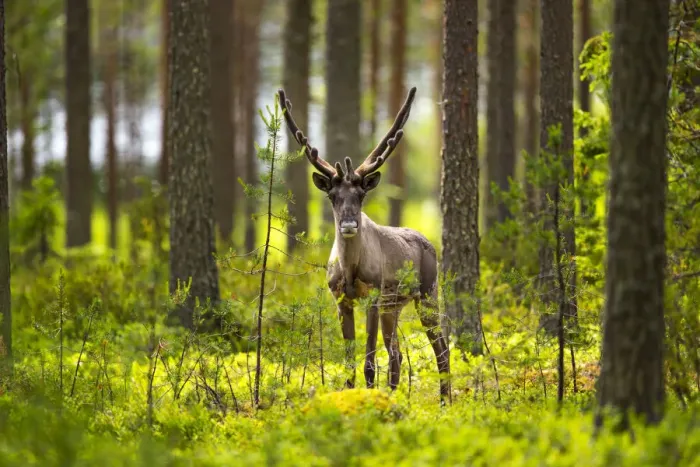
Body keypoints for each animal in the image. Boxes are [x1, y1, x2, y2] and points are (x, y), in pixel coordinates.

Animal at [278, 86, 451, 404]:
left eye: (361, 195)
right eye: (332, 195)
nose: (348, 225)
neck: (350, 270)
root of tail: (430, 244)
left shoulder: (371, 295)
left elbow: (369, 360)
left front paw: (368, 397)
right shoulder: (341, 300)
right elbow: (350, 360)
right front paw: (351, 394)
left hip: (427, 294)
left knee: (442, 349)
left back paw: (446, 401)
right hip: (394, 306)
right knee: (397, 354)